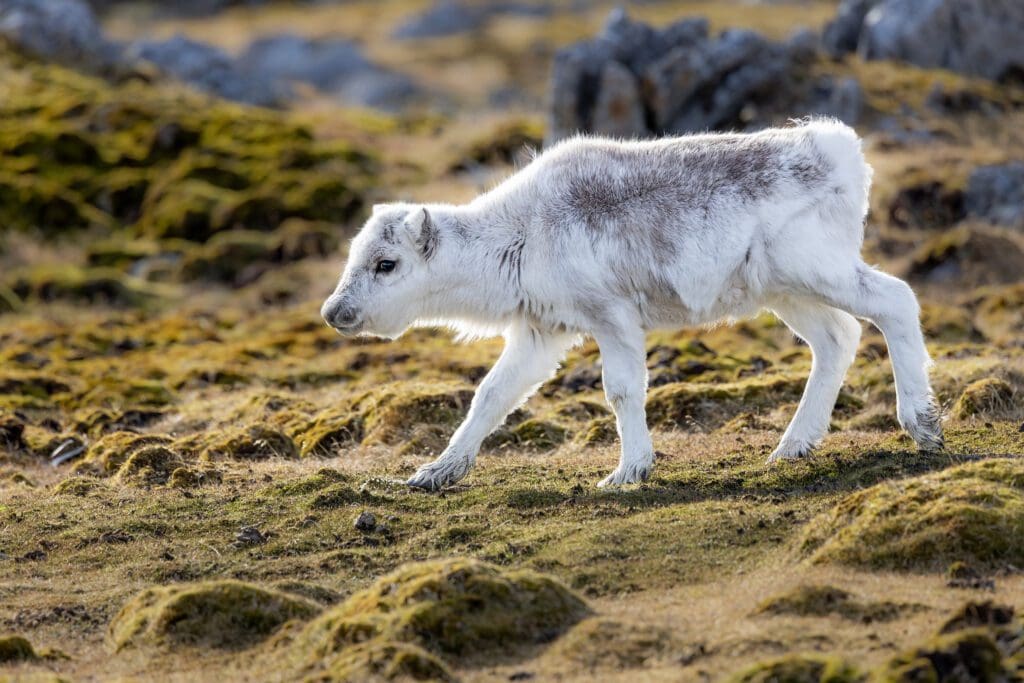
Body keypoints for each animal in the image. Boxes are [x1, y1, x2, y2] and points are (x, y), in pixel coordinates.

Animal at [321, 118, 942, 491]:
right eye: (353, 255)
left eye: (386, 264)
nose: (333, 313)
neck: (517, 236)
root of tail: (842, 151)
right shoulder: (542, 332)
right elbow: (492, 395)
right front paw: (436, 472)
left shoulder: (612, 316)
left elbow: (620, 390)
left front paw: (629, 471)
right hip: (784, 292)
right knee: (838, 337)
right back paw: (792, 447)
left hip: (816, 269)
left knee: (896, 300)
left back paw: (923, 425)